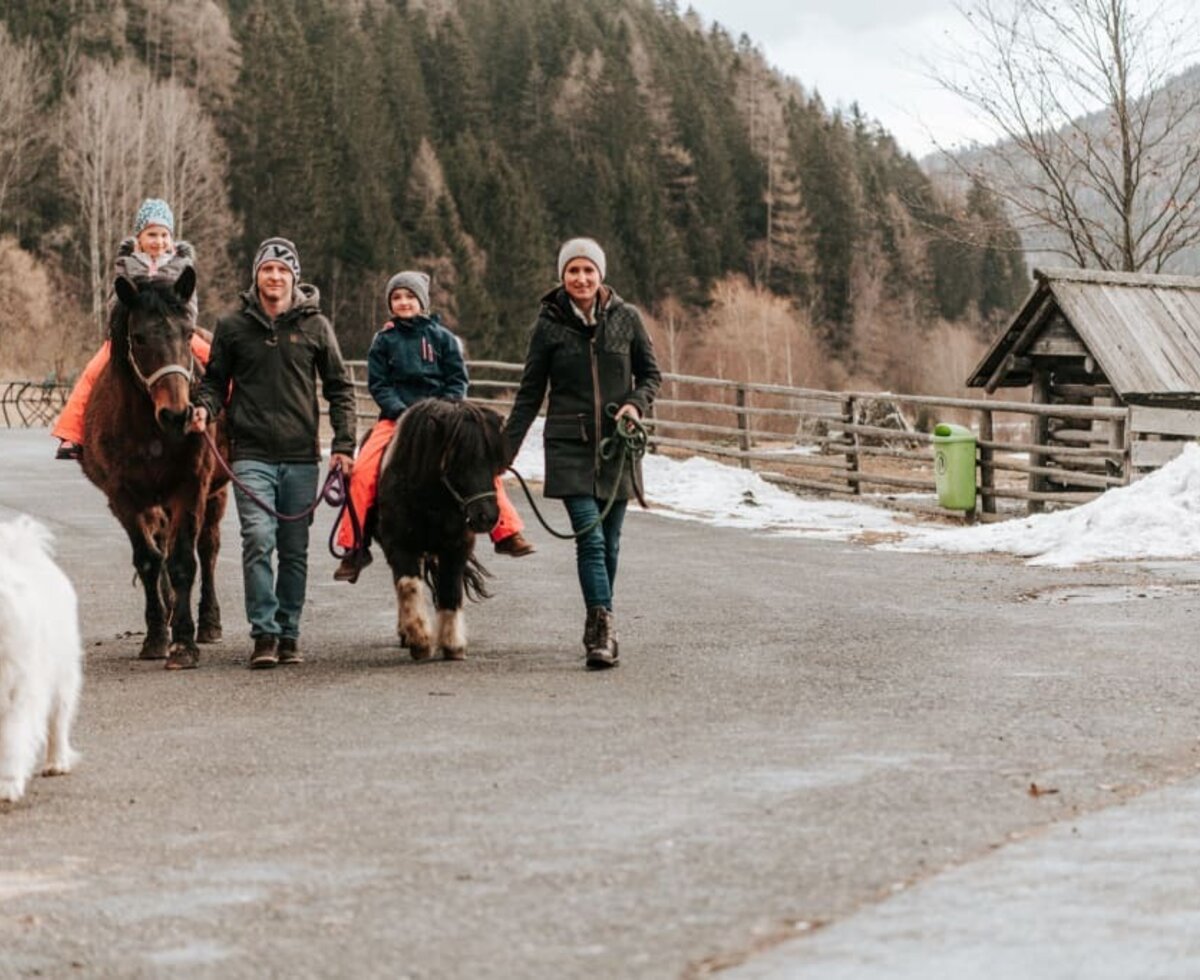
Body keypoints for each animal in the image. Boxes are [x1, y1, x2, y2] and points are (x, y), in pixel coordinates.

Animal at [0, 515, 82, 801]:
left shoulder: (18, 696)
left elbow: (11, 742)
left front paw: (7, 786)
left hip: (63, 679)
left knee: (58, 724)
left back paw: (56, 764)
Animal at [81, 267, 229, 666]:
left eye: (187, 333)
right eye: (138, 337)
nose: (177, 414)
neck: (152, 432)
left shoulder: (190, 489)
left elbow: (182, 561)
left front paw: (184, 643)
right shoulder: (124, 499)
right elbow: (149, 561)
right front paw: (157, 636)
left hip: (217, 493)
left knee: (208, 548)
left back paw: (209, 622)